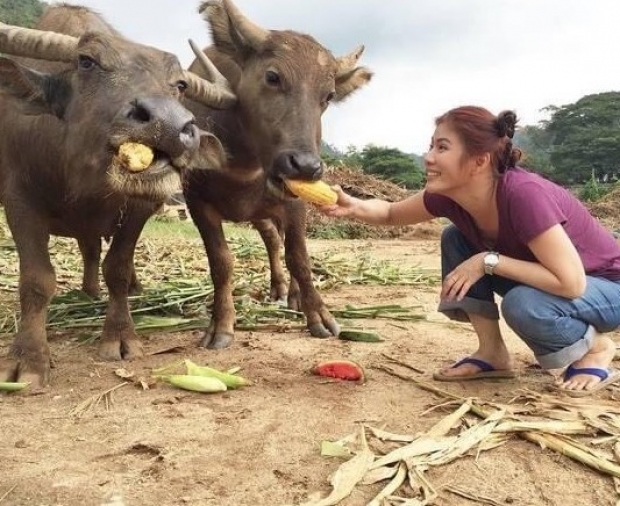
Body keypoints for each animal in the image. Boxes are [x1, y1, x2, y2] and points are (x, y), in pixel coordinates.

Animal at [0, 3, 236, 386]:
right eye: (86, 61)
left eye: (180, 84)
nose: (172, 125)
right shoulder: (19, 199)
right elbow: (36, 280)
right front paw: (28, 359)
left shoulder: (140, 206)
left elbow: (118, 269)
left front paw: (121, 336)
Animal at [182, 0, 370, 348]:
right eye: (272, 76)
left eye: (328, 95)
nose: (306, 166)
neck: (246, 162)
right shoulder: (197, 202)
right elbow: (221, 262)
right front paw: (221, 325)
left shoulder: (295, 202)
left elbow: (299, 257)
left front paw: (318, 316)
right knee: (270, 237)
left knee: (279, 241)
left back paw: (291, 294)